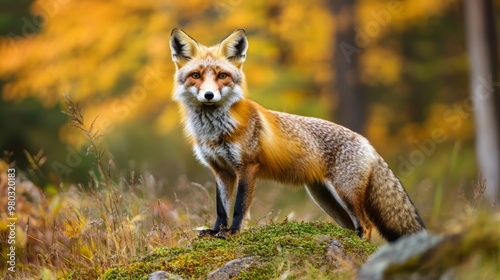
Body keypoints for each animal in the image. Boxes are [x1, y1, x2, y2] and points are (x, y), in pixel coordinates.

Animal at [169, 28, 426, 242]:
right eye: (196, 75)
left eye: (222, 75)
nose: (209, 95)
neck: (215, 131)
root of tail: (367, 142)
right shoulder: (221, 170)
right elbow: (221, 208)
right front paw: (215, 232)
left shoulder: (247, 167)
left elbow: (240, 207)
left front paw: (232, 233)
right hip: (327, 200)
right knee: (353, 225)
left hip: (345, 194)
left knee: (366, 224)